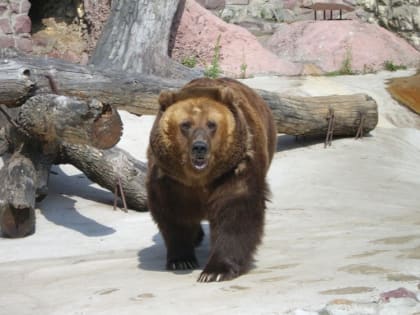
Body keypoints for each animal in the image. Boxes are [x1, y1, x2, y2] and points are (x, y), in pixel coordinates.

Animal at [146, 77, 278, 284]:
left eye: (211, 124)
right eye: (186, 124)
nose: (199, 147)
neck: (199, 178)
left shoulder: (235, 170)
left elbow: (236, 213)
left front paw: (215, 271)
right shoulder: (170, 179)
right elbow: (173, 215)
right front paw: (182, 259)